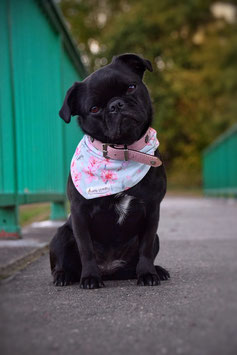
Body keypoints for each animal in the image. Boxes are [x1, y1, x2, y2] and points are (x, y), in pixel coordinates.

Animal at [50, 53, 169, 290]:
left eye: (131, 87)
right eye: (95, 109)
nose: (116, 105)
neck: (123, 151)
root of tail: (109, 271)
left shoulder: (152, 210)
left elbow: (146, 247)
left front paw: (147, 273)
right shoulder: (79, 214)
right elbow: (86, 248)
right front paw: (90, 278)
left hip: (155, 241)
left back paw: (156, 271)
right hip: (61, 234)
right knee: (62, 261)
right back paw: (63, 275)